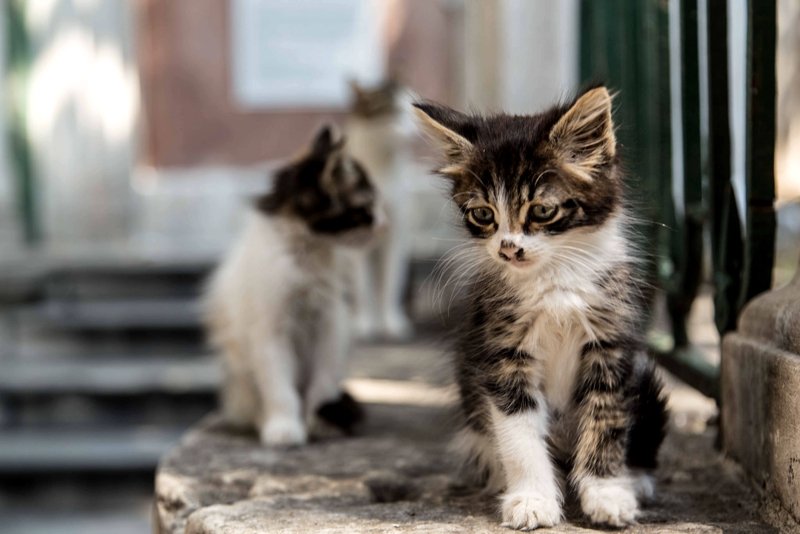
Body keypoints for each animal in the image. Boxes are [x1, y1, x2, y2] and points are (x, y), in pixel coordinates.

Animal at [205, 125, 382, 448]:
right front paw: (283, 427)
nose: (381, 224)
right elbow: (278, 385)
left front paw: (320, 420)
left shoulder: (332, 322)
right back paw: (261, 419)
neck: (309, 253)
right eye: (364, 209)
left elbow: (323, 381)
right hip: (239, 370)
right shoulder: (269, 329)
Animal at [346, 78, 416, 340]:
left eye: (413, 108)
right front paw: (364, 324)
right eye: (395, 111)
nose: (415, 126)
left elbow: (391, 281)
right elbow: (363, 287)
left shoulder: (397, 235)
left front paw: (391, 322)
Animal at [412, 86, 668, 528]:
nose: (508, 249)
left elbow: (607, 420)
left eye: (542, 211)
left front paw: (607, 493)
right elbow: (519, 434)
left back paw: (635, 481)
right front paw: (531, 499)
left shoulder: (612, 343)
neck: (554, 279)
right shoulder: (502, 350)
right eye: (484, 215)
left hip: (646, 387)